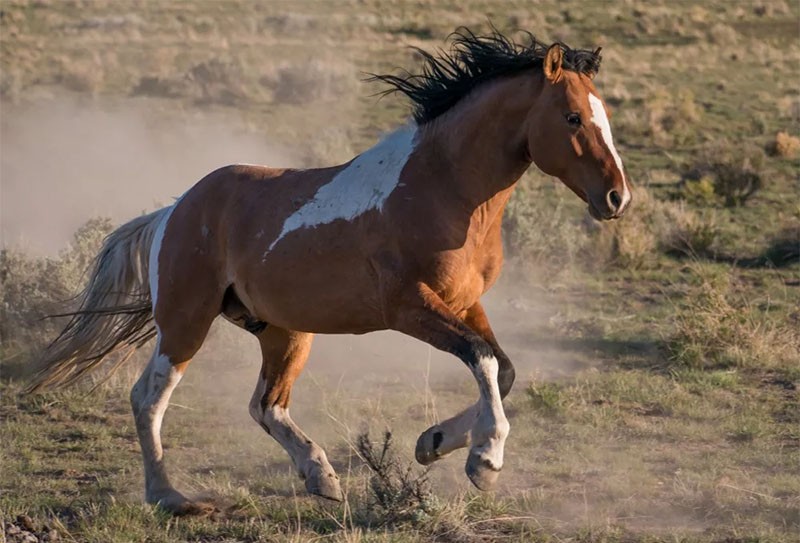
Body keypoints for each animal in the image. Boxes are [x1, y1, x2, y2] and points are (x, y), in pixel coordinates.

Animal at [29, 28, 632, 516]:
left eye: (604, 115)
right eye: (573, 117)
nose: (617, 197)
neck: (443, 187)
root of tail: (174, 209)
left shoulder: (465, 303)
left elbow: (501, 371)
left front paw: (434, 442)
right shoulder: (410, 307)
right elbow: (483, 361)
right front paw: (484, 460)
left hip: (285, 331)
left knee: (266, 406)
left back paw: (321, 477)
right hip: (186, 321)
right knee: (149, 398)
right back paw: (170, 497)